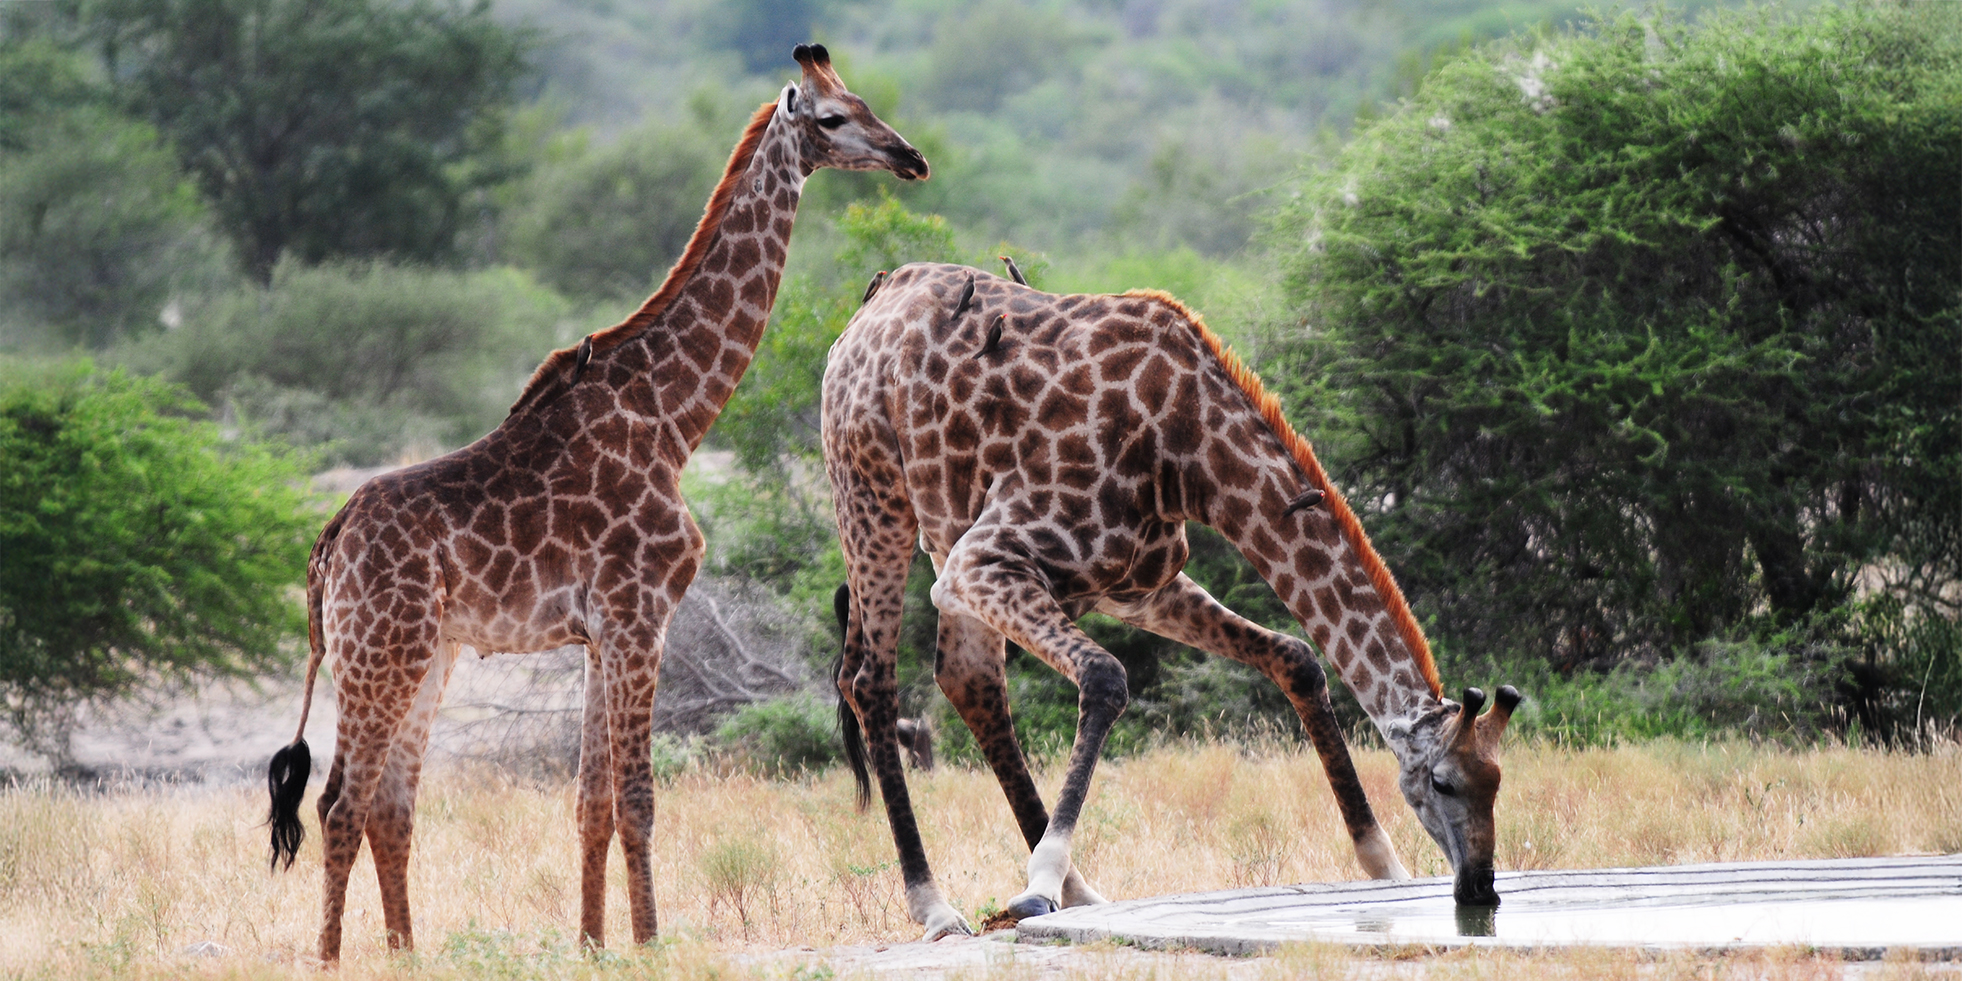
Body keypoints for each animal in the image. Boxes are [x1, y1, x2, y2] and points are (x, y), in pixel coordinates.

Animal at [263, 45, 926, 962]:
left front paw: (591, 942)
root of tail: (325, 549)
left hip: (428, 655)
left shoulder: (597, 632)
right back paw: (333, 959)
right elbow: (639, 797)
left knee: (390, 807)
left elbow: (592, 802)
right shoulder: (640, 613)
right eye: (832, 118)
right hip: (378, 655)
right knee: (337, 804)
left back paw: (406, 954)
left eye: (865, 102)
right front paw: (649, 942)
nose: (911, 156)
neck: (673, 417)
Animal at [822, 262, 1519, 938]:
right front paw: (1039, 879)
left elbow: (1296, 657)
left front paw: (1386, 868)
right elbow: (1106, 677)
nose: (1481, 887)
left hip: (946, 524)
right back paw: (938, 907)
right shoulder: (983, 559)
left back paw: (1079, 895)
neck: (1185, 448)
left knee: (968, 679)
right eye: (1443, 783)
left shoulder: (1135, 586)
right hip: (875, 497)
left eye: (1497, 782)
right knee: (870, 681)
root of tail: (869, 305)